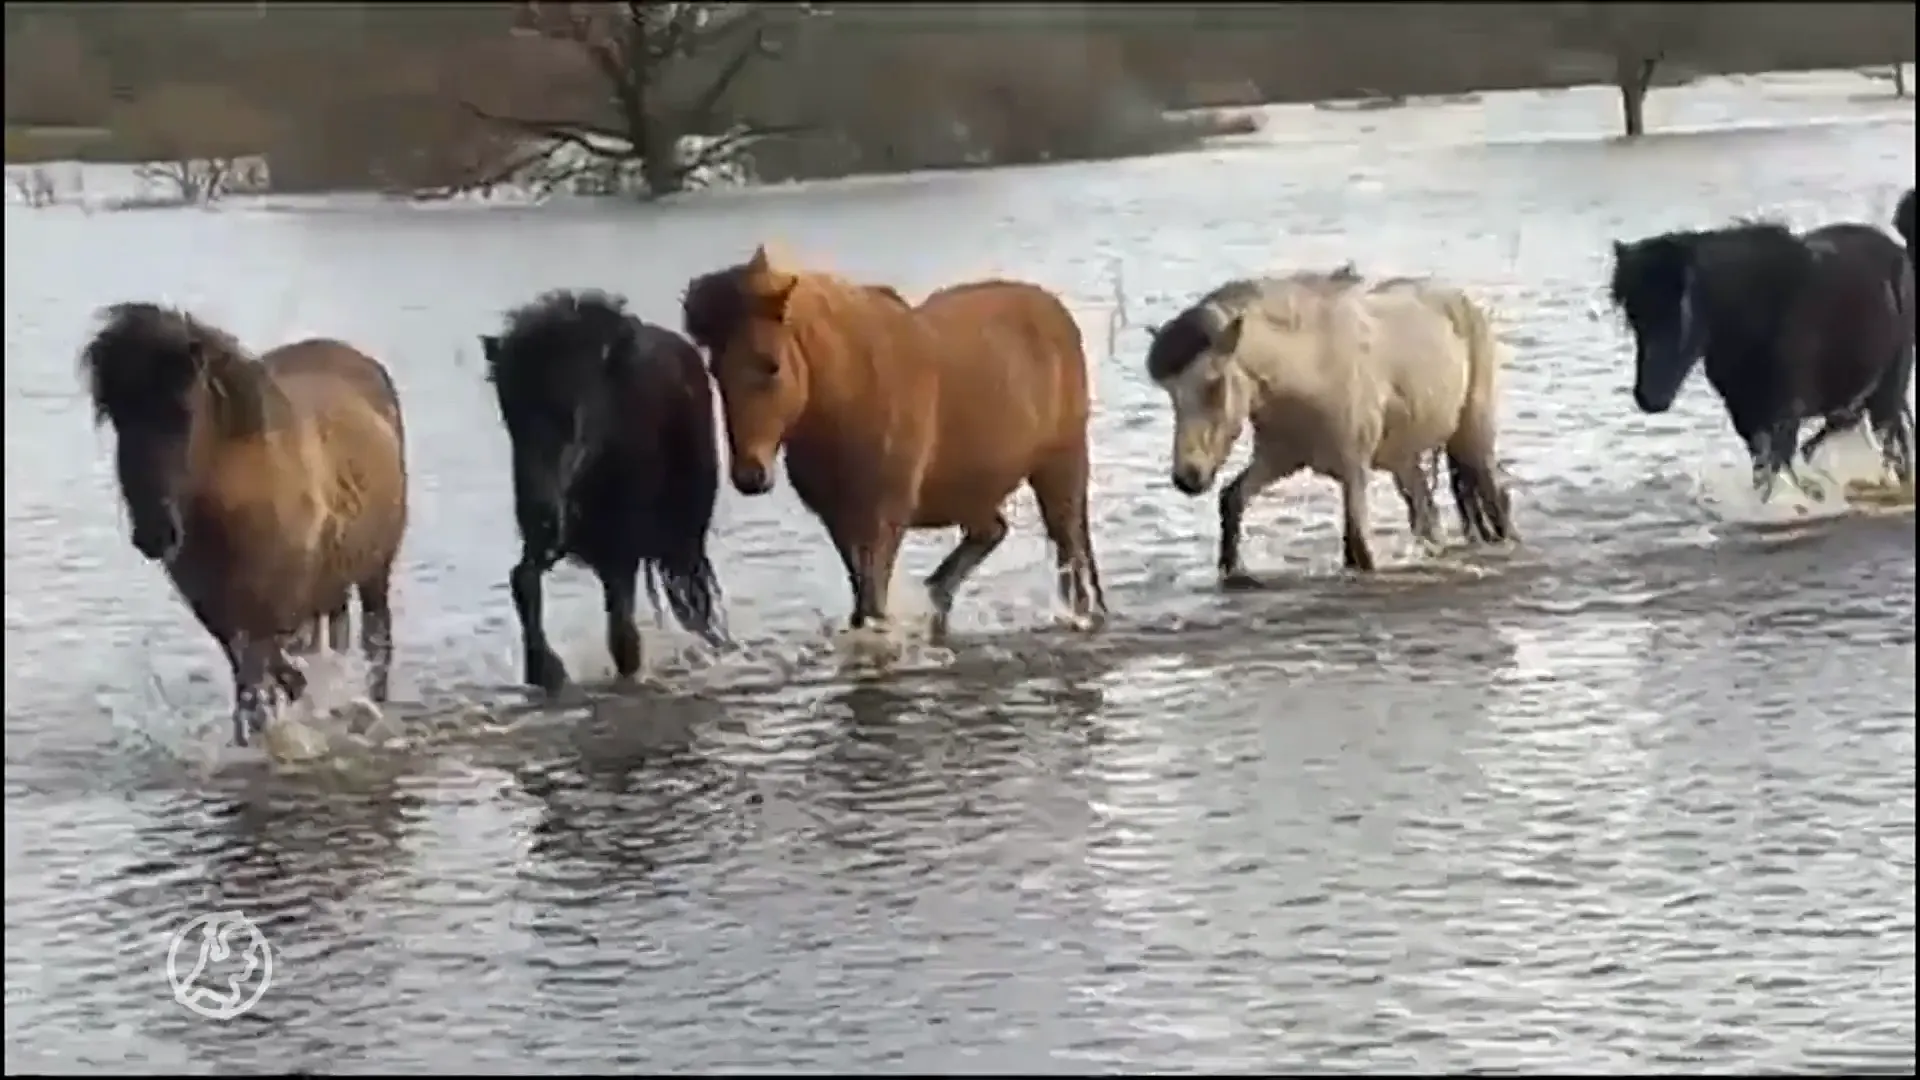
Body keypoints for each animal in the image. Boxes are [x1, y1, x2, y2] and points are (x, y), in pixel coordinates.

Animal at [79, 303, 408, 747]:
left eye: (183, 413)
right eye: (116, 417)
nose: (154, 533)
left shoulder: (276, 608)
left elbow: (272, 669)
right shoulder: (220, 612)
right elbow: (256, 678)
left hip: (374, 571)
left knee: (377, 642)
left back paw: (370, 708)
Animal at [483, 290, 727, 695]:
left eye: (572, 416)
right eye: (511, 417)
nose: (539, 514)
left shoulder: (621, 548)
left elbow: (623, 635)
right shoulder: (552, 538)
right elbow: (523, 579)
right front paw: (545, 670)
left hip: (686, 530)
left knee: (692, 596)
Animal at [682, 244, 1105, 633]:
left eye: (771, 365)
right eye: (714, 371)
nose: (749, 476)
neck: (851, 396)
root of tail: (1055, 310)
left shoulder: (882, 519)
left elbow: (872, 604)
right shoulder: (840, 522)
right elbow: (862, 603)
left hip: (1059, 468)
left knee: (1071, 551)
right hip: (971, 490)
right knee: (992, 533)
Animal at [1145, 270, 1514, 584]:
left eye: (1214, 384)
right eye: (1171, 394)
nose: (1187, 478)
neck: (1314, 366)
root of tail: (1465, 301)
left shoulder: (1354, 471)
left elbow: (1360, 548)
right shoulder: (1278, 461)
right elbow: (1232, 498)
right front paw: (1232, 570)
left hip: (1473, 438)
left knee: (1495, 497)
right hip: (1402, 459)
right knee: (1426, 515)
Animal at [1609, 219, 1915, 500]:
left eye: (1680, 309)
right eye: (1632, 315)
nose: (1649, 398)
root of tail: (1897, 251)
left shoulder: (1785, 413)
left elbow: (1774, 471)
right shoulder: (1746, 415)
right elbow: (1765, 472)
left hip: (1887, 390)